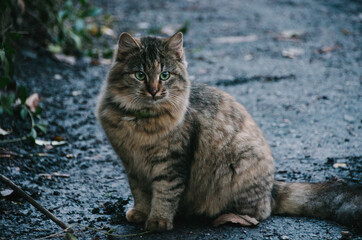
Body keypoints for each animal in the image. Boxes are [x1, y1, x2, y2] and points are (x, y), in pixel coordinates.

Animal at [96, 31, 362, 231]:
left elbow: (165, 193)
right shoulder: (132, 166)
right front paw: (141, 213)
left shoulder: (171, 163)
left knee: (260, 212)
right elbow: (140, 193)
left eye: (165, 75)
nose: (153, 91)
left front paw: (159, 221)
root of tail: (272, 188)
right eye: (140, 75)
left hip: (240, 164)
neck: (140, 122)